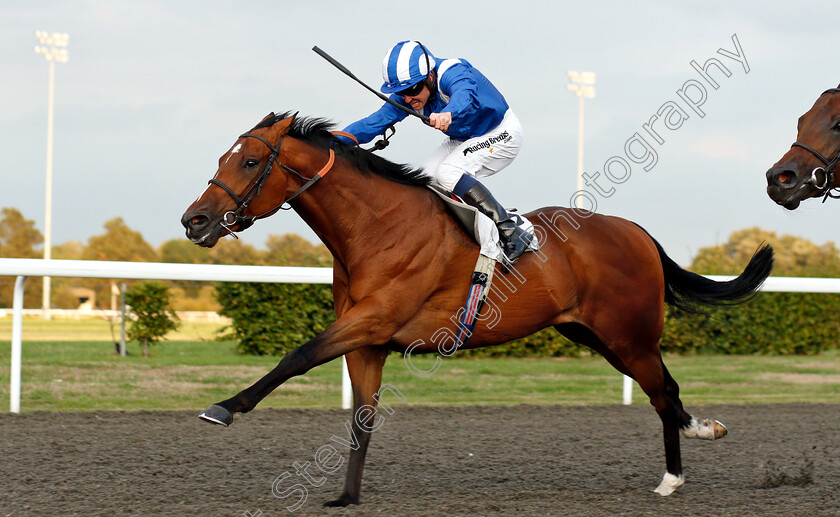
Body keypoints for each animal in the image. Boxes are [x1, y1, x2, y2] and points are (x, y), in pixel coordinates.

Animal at [180, 112, 772, 504]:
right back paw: (702, 432)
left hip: (630, 334)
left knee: (661, 393)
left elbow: (296, 357)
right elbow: (362, 418)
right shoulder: (369, 342)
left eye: (250, 161)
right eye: (223, 158)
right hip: (597, 336)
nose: (194, 220)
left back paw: (674, 475)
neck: (376, 226)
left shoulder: (370, 320)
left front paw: (225, 407)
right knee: (664, 390)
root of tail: (636, 232)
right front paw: (346, 496)